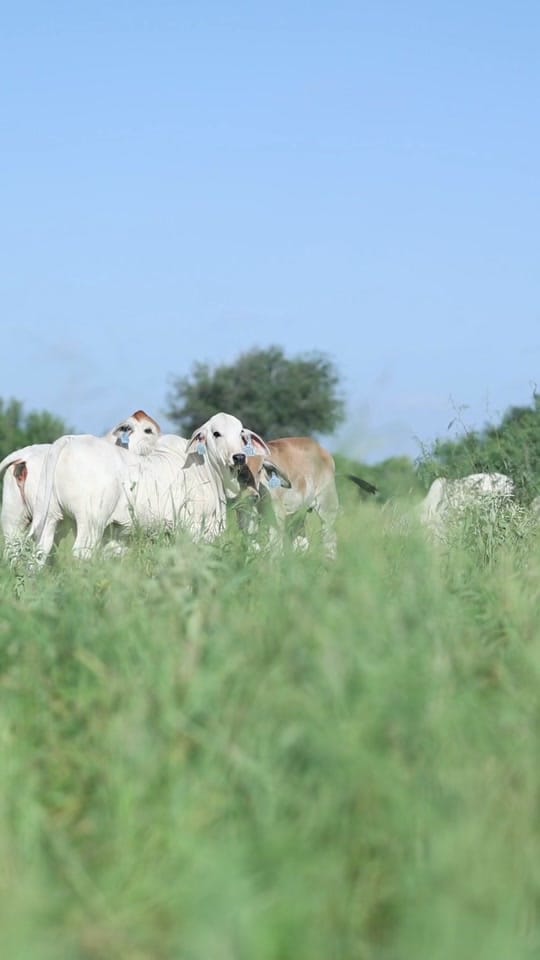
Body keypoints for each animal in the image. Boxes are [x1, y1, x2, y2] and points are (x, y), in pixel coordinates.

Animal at [28, 412, 271, 562]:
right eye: (216, 433)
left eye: (241, 435)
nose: (238, 457)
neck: (205, 469)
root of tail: (67, 441)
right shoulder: (192, 529)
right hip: (90, 523)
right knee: (81, 555)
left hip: (51, 519)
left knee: (38, 556)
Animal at [234, 436, 377, 560]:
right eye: (240, 471)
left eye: (259, 469)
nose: (253, 495)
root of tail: (323, 451)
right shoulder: (244, 517)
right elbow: (253, 546)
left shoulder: (276, 516)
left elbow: (275, 548)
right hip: (299, 515)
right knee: (302, 543)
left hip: (327, 507)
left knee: (330, 538)